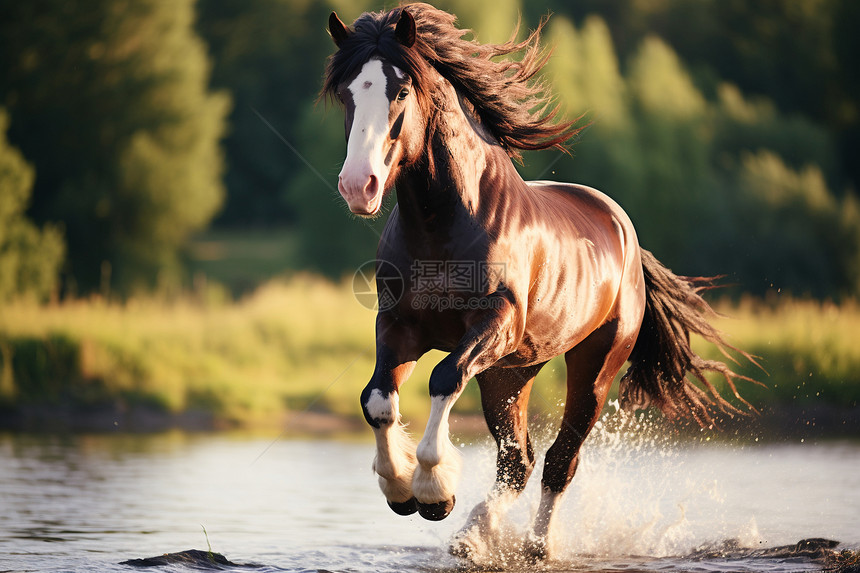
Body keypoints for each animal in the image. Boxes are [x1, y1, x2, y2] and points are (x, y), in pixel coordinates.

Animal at [322, 3, 752, 560]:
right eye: (346, 93)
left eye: (400, 91)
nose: (359, 186)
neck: (443, 224)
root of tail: (627, 237)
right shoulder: (399, 326)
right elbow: (377, 400)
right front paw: (401, 490)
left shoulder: (494, 322)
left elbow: (443, 378)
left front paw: (433, 492)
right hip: (510, 373)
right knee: (517, 462)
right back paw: (471, 537)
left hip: (592, 367)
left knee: (559, 460)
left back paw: (534, 547)